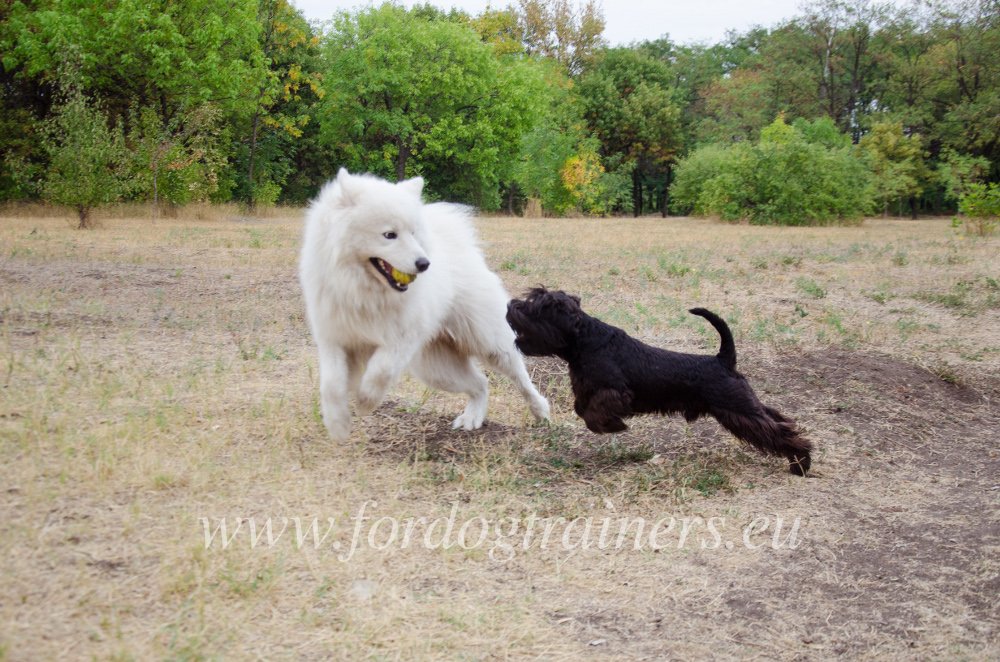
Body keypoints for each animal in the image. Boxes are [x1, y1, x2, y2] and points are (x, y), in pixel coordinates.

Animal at [300, 170, 552, 440]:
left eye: (413, 233)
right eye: (389, 235)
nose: (424, 264)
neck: (366, 292)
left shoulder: (401, 339)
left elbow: (380, 372)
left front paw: (366, 401)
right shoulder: (334, 340)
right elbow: (331, 386)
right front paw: (337, 424)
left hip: (489, 343)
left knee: (519, 376)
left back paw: (541, 411)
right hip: (437, 368)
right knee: (480, 383)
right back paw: (472, 417)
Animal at [508, 288, 812, 474]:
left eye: (538, 307)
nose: (511, 305)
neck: (585, 340)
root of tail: (723, 359)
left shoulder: (615, 393)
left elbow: (594, 414)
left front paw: (614, 426)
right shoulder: (588, 390)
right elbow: (582, 409)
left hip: (738, 410)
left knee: (778, 432)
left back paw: (801, 463)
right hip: (746, 404)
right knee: (780, 420)